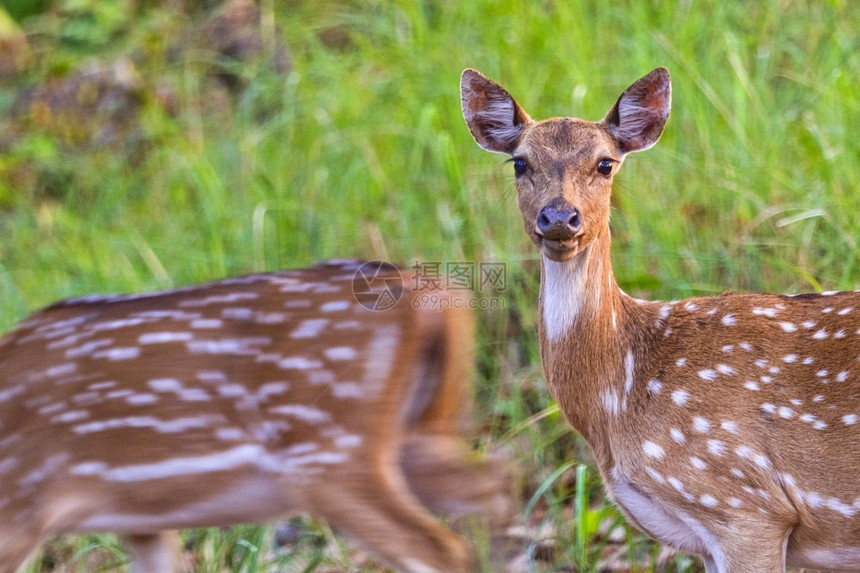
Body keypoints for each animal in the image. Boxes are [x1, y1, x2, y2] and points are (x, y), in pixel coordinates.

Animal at [0, 260, 510, 572]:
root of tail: (428, 290)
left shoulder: (16, 512)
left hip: (330, 456)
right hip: (416, 433)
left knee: (442, 548)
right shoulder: (141, 520)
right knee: (493, 482)